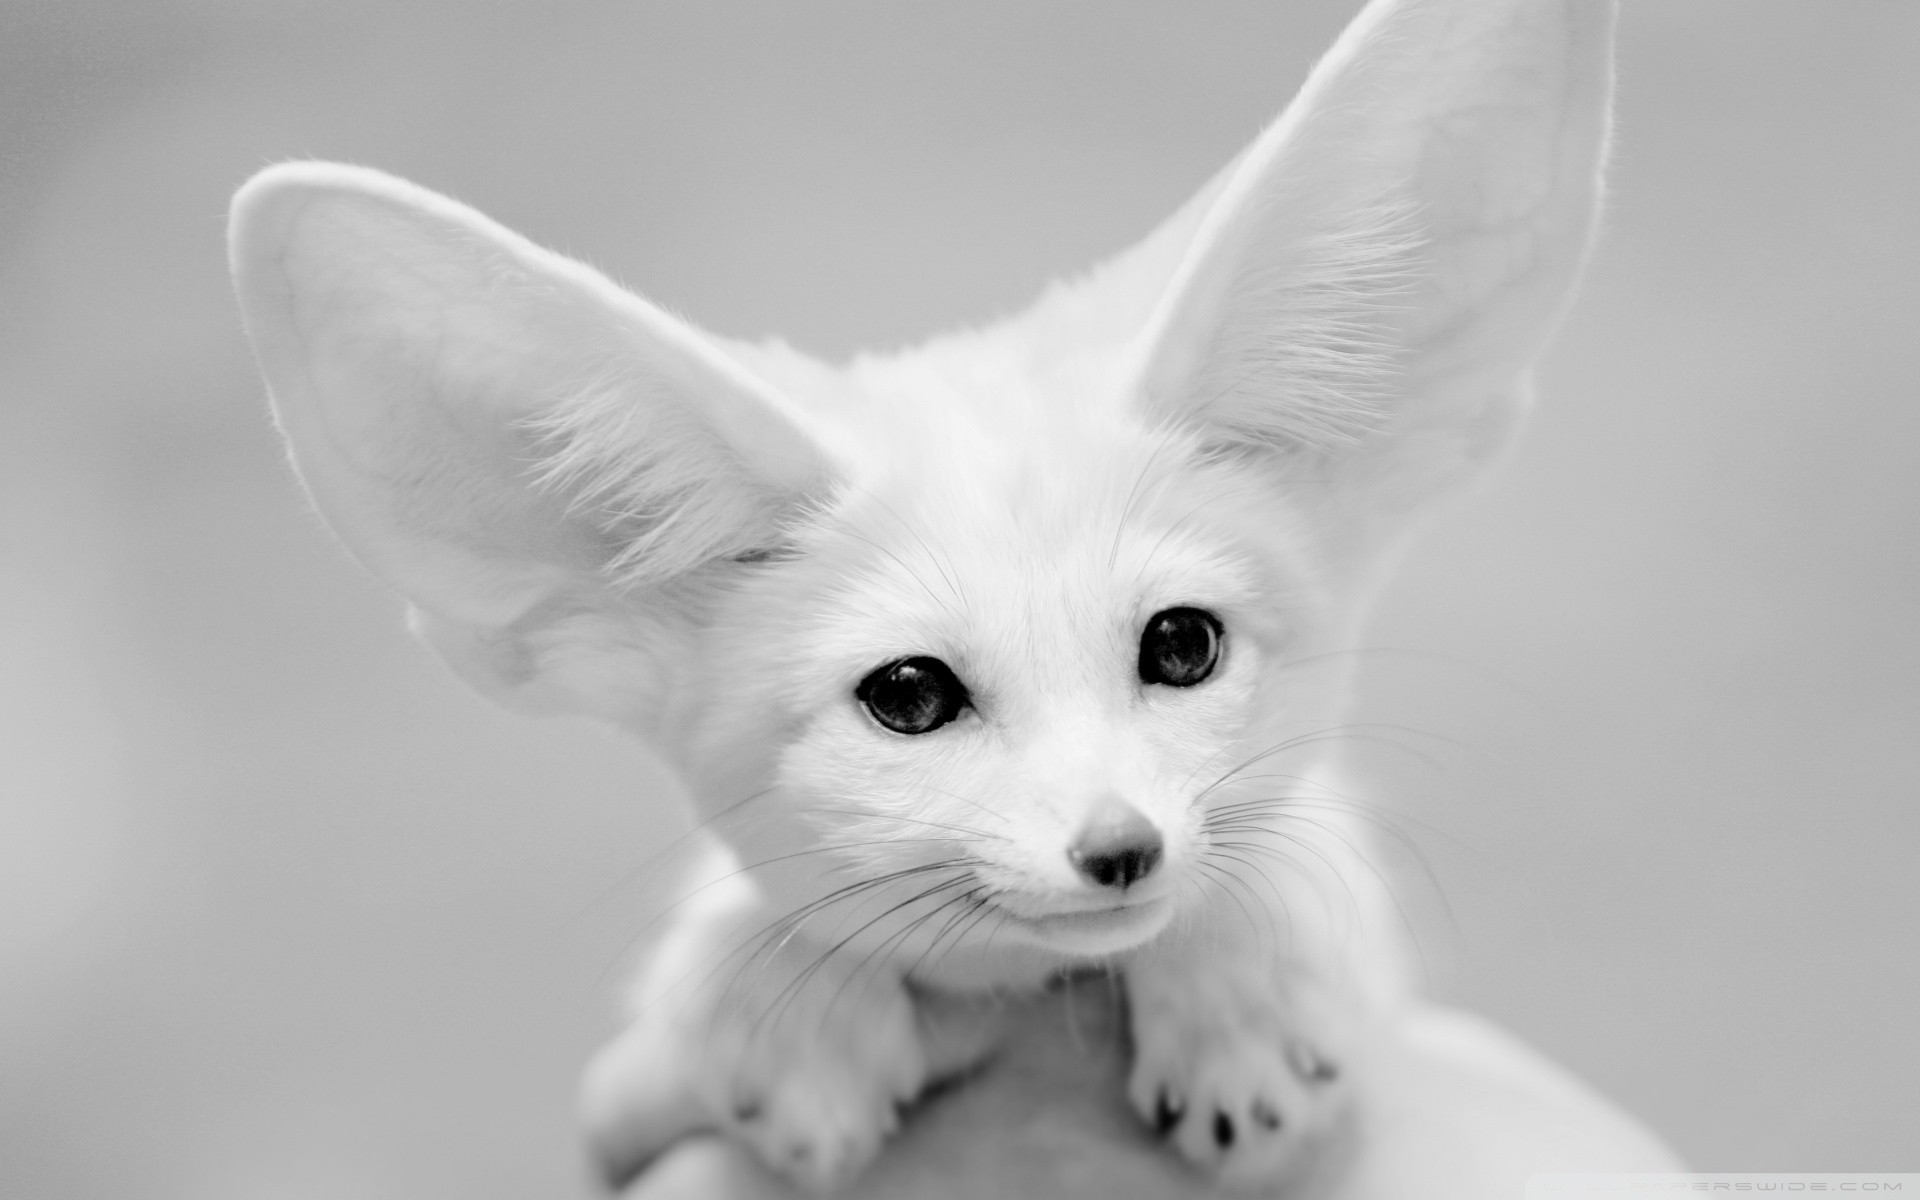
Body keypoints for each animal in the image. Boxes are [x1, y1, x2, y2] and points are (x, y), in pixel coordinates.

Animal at [228, 0, 1616, 1191]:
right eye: (909, 695)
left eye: (1182, 644)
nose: (1121, 849)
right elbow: (745, 929)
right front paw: (787, 1007)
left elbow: (1283, 850)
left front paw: (1241, 988)